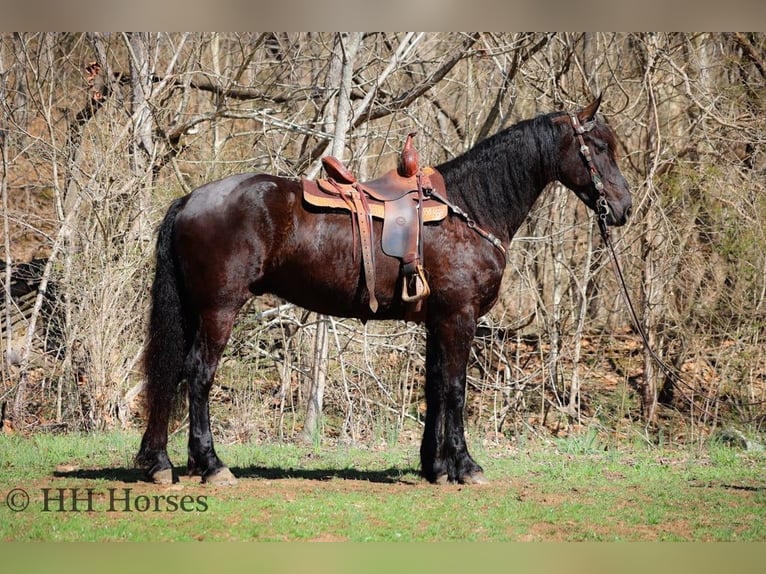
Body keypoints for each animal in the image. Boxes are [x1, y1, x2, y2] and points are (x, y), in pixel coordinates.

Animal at [135, 97, 632, 485]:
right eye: (599, 147)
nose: (624, 208)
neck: (470, 210)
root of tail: (191, 199)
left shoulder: (437, 321)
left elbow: (435, 385)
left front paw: (435, 467)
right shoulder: (460, 317)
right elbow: (456, 388)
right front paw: (465, 466)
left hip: (196, 310)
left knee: (172, 373)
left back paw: (161, 462)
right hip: (219, 309)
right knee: (198, 373)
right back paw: (211, 464)